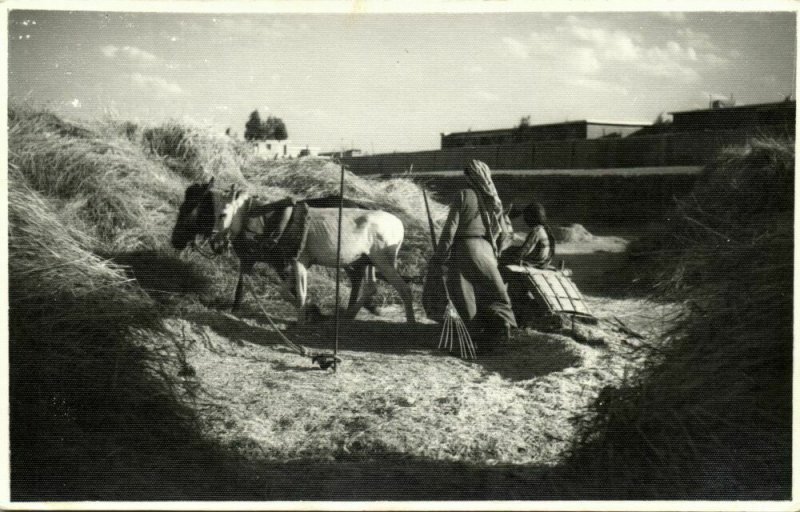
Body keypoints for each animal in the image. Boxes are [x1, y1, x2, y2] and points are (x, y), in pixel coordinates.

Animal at [212, 188, 416, 324]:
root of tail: (399, 224)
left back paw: (411, 324)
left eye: (222, 214)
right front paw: (309, 312)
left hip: (383, 262)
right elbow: (284, 290)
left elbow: (300, 293)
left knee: (404, 289)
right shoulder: (296, 262)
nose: (215, 244)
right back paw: (348, 316)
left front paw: (303, 319)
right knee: (370, 287)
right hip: (367, 262)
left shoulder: (295, 262)